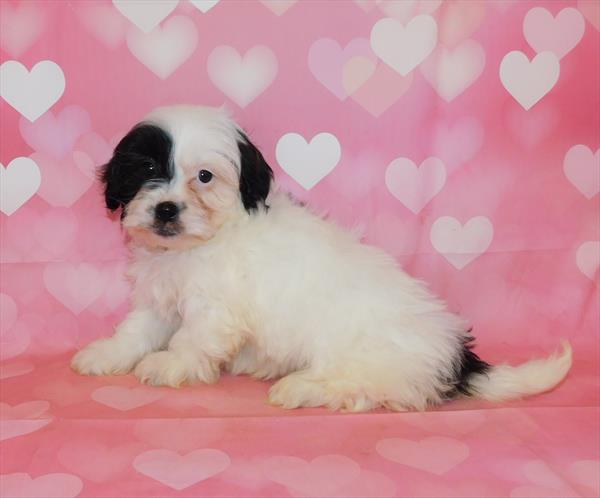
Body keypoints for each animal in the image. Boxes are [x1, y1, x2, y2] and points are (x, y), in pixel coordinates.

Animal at [71, 105, 572, 412]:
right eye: (147, 169)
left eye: (205, 177)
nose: (166, 209)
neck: (200, 243)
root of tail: (455, 356)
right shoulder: (160, 293)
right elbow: (137, 329)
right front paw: (107, 354)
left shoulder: (214, 307)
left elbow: (193, 338)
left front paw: (169, 364)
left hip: (359, 350)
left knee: (357, 386)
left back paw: (299, 386)